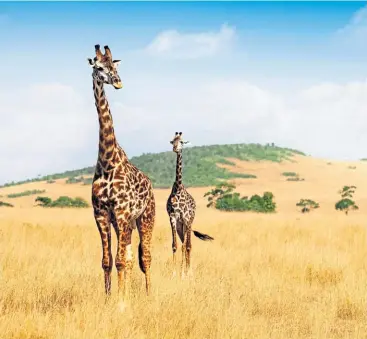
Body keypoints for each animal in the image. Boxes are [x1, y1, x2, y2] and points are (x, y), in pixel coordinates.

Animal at [88, 43, 156, 302]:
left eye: (115, 67)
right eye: (99, 67)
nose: (117, 82)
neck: (107, 161)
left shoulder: (123, 212)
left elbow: (119, 261)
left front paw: (121, 303)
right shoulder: (101, 214)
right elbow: (108, 261)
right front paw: (109, 299)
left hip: (146, 217)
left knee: (145, 257)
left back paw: (148, 295)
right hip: (123, 223)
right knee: (129, 256)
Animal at [166, 131, 214, 278]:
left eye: (181, 142)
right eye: (173, 141)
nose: (175, 148)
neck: (178, 188)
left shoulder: (185, 218)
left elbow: (184, 246)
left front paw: (183, 274)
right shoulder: (173, 217)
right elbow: (175, 245)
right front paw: (174, 273)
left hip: (189, 223)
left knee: (188, 245)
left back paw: (189, 272)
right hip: (181, 226)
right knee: (184, 243)